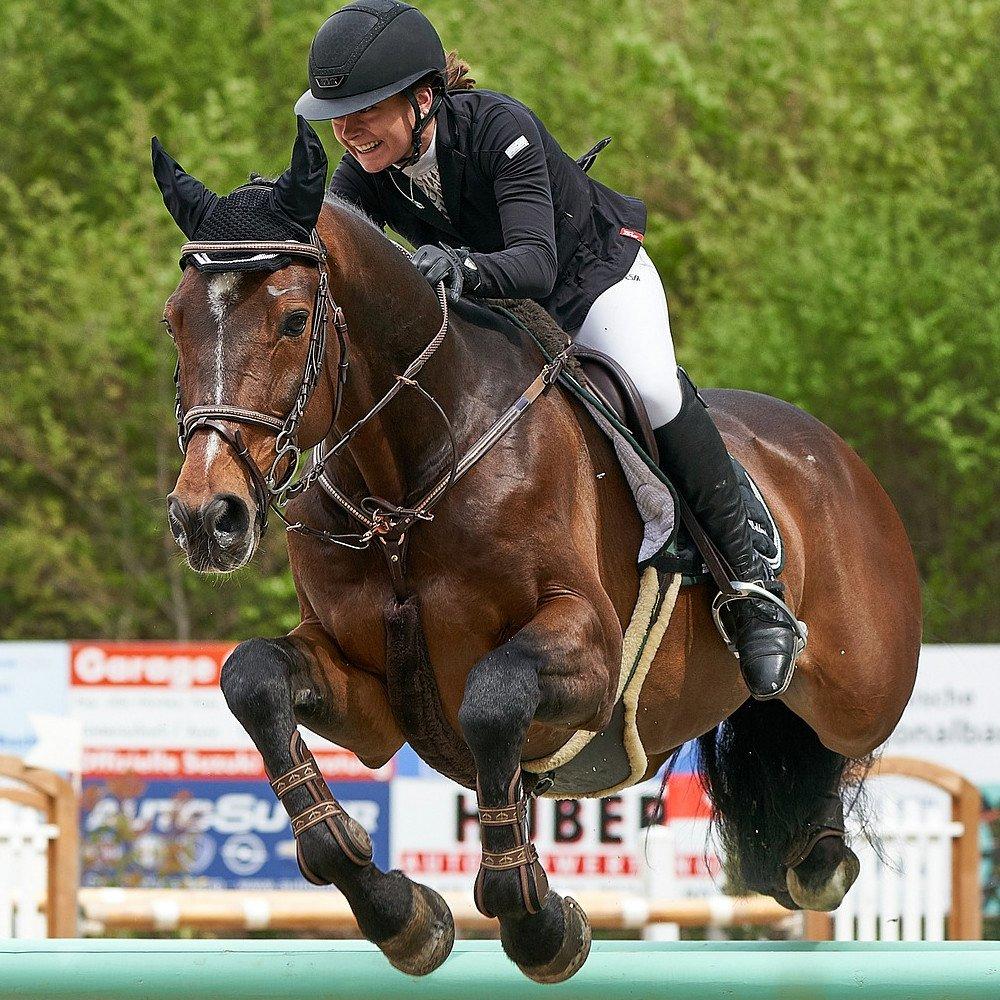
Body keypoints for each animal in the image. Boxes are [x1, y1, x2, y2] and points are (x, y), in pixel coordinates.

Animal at [155, 123, 920, 983]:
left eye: (291, 320)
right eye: (173, 322)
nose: (207, 518)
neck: (409, 476)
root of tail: (836, 455)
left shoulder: (591, 653)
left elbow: (494, 698)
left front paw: (536, 919)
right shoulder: (374, 697)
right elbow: (252, 679)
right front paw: (400, 913)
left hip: (863, 685)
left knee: (837, 732)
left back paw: (780, 686)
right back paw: (809, 847)